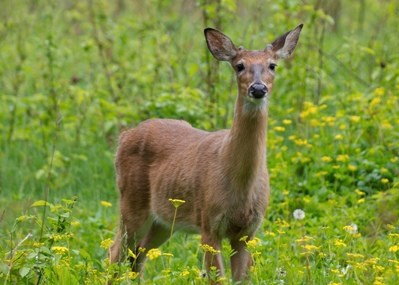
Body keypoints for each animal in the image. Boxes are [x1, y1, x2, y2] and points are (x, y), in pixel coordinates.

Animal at [109, 24, 304, 282]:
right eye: (239, 65)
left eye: (273, 65)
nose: (258, 88)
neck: (239, 182)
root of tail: (124, 136)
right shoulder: (209, 223)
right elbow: (217, 279)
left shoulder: (248, 231)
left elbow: (241, 279)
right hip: (131, 202)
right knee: (115, 252)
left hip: (163, 220)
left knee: (138, 255)